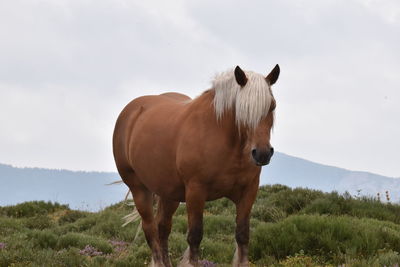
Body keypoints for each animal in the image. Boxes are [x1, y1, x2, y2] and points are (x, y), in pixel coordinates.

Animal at [112, 65, 282, 267]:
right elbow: (195, 236)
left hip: (169, 193)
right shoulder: (196, 191)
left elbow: (242, 235)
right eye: (242, 108)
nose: (262, 153)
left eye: (272, 106)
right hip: (140, 189)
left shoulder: (248, 191)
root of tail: (131, 112)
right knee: (150, 230)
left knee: (163, 228)